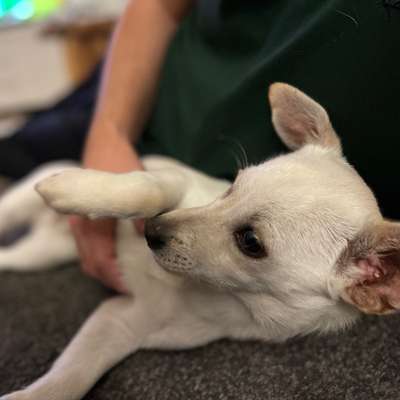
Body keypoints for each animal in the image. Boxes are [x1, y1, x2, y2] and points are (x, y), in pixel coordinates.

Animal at [1, 83, 398, 400]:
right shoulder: (173, 179)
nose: (151, 232)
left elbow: (71, 378)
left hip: (41, 254)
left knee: (11, 256)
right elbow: (147, 189)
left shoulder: (121, 324)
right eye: (233, 185)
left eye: (250, 242)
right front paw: (76, 190)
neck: (207, 290)